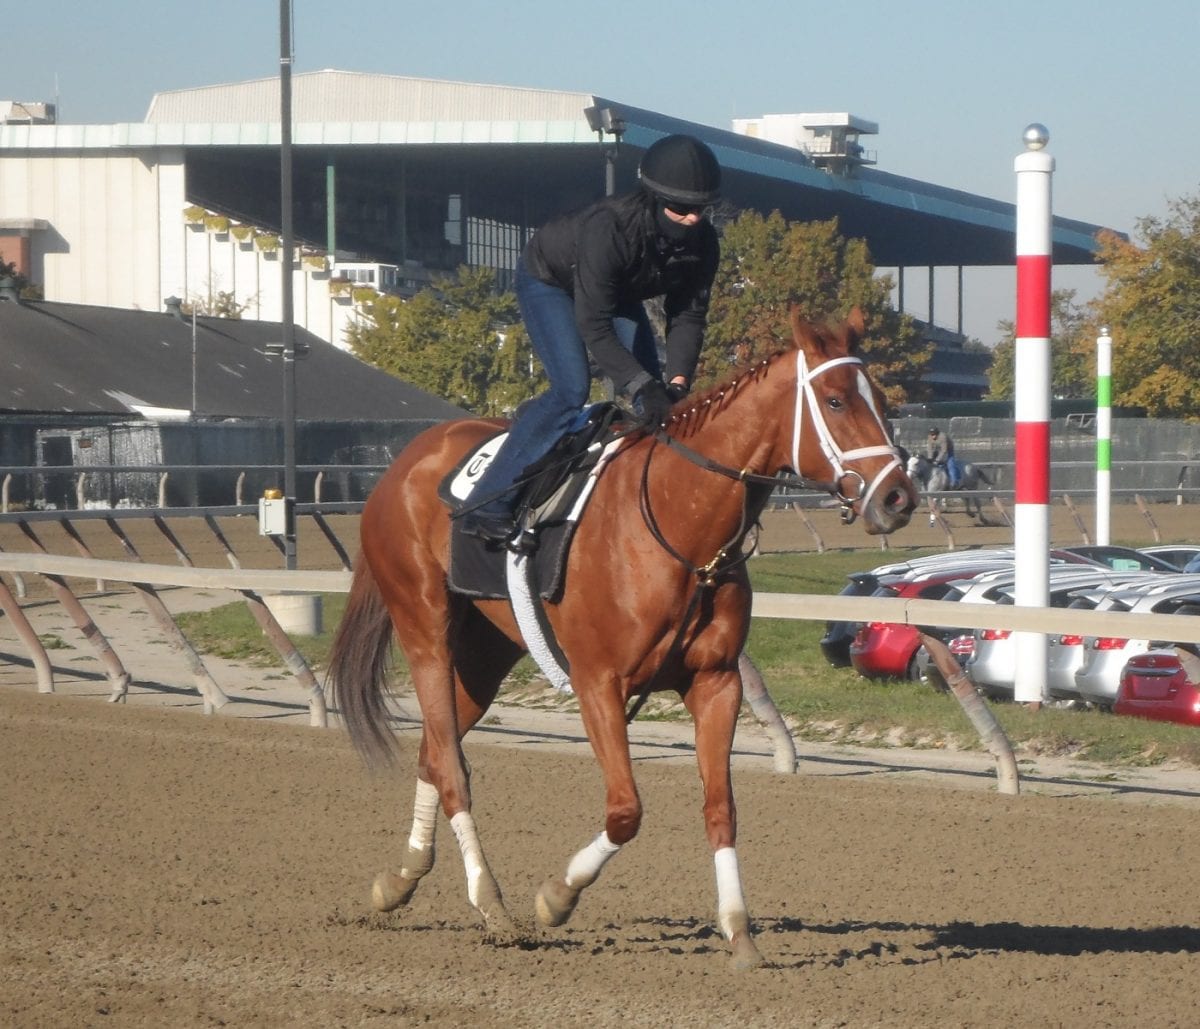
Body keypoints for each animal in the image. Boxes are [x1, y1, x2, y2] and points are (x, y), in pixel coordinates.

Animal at [328, 307, 916, 969]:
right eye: (836, 399)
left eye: (882, 400)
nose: (899, 496)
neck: (680, 524)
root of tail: (406, 460)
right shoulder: (598, 683)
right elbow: (627, 811)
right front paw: (556, 897)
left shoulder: (716, 682)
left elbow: (721, 808)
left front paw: (738, 932)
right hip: (424, 624)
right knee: (451, 765)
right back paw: (491, 905)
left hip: (486, 653)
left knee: (434, 750)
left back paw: (400, 881)